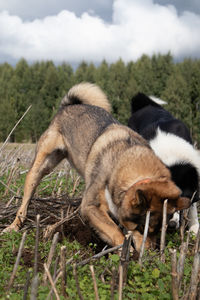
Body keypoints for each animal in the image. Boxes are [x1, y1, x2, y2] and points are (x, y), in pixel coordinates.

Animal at [3, 82, 191, 251]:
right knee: (25, 201)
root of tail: (69, 105)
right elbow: (114, 232)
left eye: (159, 230)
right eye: (141, 228)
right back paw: (13, 226)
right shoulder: (90, 207)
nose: (150, 252)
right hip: (40, 168)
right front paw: (126, 252)